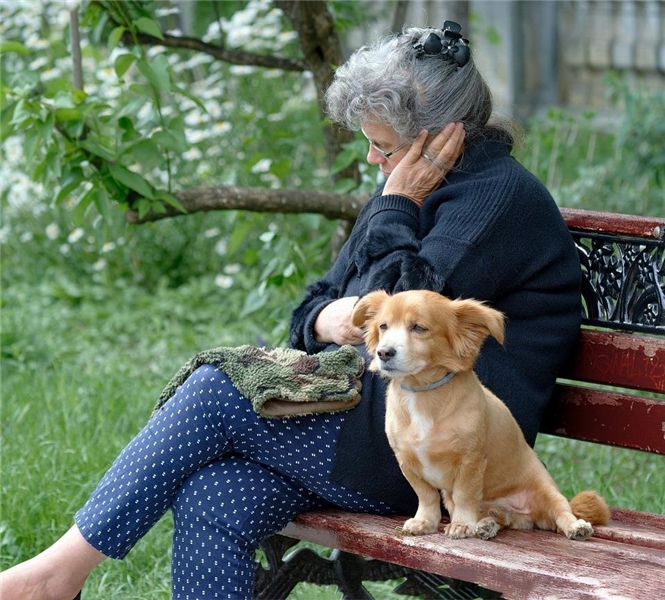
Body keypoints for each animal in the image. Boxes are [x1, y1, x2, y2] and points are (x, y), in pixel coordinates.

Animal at [350, 288, 608, 540]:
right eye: (383, 326)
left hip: (548, 491)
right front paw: (425, 521)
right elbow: (426, 495)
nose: (384, 352)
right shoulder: (407, 462)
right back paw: (487, 525)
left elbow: (465, 495)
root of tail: (523, 514)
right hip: (461, 500)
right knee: (500, 518)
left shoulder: (470, 462)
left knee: (561, 513)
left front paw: (462, 525)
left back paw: (575, 527)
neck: (422, 393)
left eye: (419, 328)